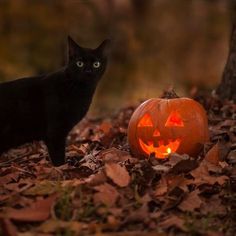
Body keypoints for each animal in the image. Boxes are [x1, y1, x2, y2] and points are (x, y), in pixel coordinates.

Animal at [0, 36, 109, 166]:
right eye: (79, 63)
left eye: (96, 64)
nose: (88, 71)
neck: (80, 90)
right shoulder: (55, 132)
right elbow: (58, 157)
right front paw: (63, 168)